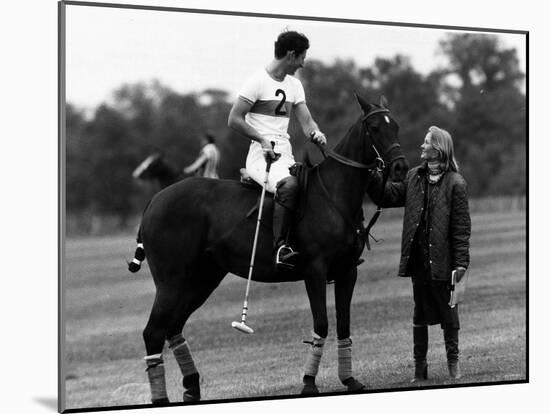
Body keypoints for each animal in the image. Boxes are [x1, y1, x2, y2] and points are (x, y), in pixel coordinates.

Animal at [129, 94, 410, 404]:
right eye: (374, 127)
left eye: (395, 125)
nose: (400, 168)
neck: (334, 195)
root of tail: (154, 201)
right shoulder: (315, 270)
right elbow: (322, 323)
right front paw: (309, 383)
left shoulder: (347, 271)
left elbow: (344, 324)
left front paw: (349, 380)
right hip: (171, 280)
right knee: (153, 331)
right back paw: (162, 399)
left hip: (202, 279)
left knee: (173, 327)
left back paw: (192, 388)